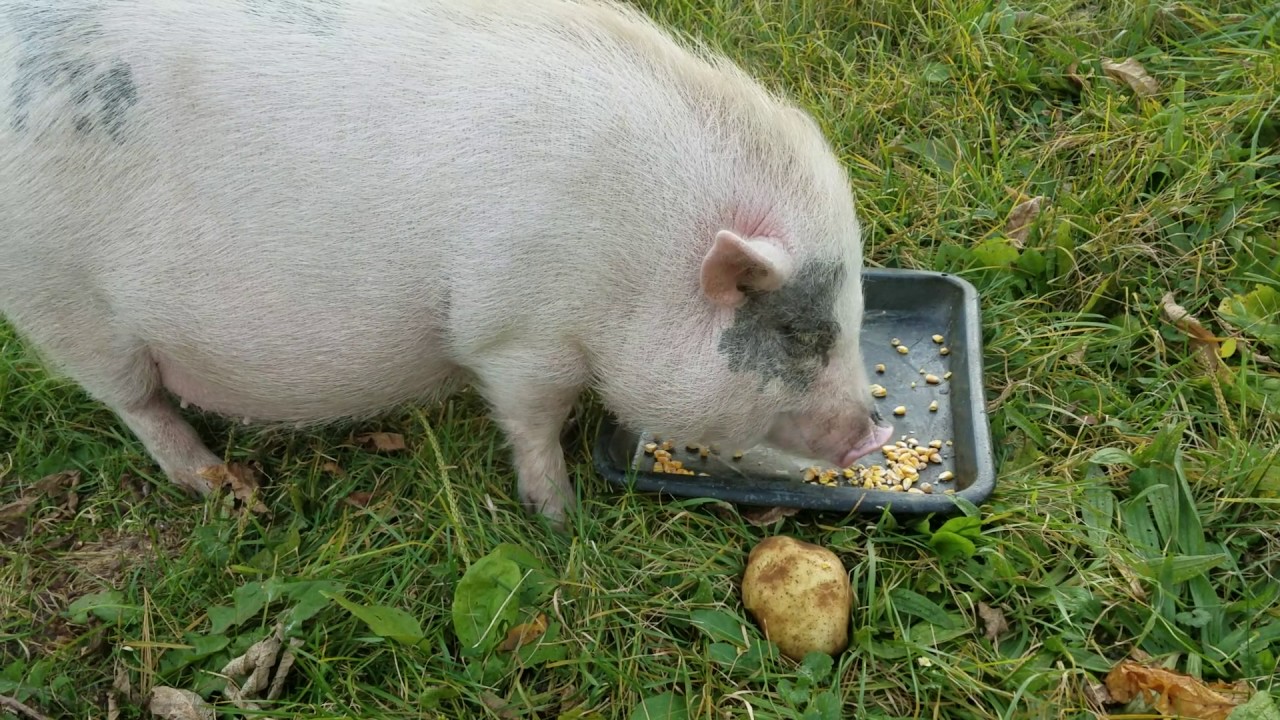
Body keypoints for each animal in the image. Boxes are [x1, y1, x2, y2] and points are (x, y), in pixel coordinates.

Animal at [0, 0, 894, 527]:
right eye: (799, 332)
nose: (871, 436)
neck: (640, 249)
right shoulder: (519, 334)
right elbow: (535, 420)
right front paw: (559, 519)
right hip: (64, 304)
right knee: (137, 404)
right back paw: (222, 483)